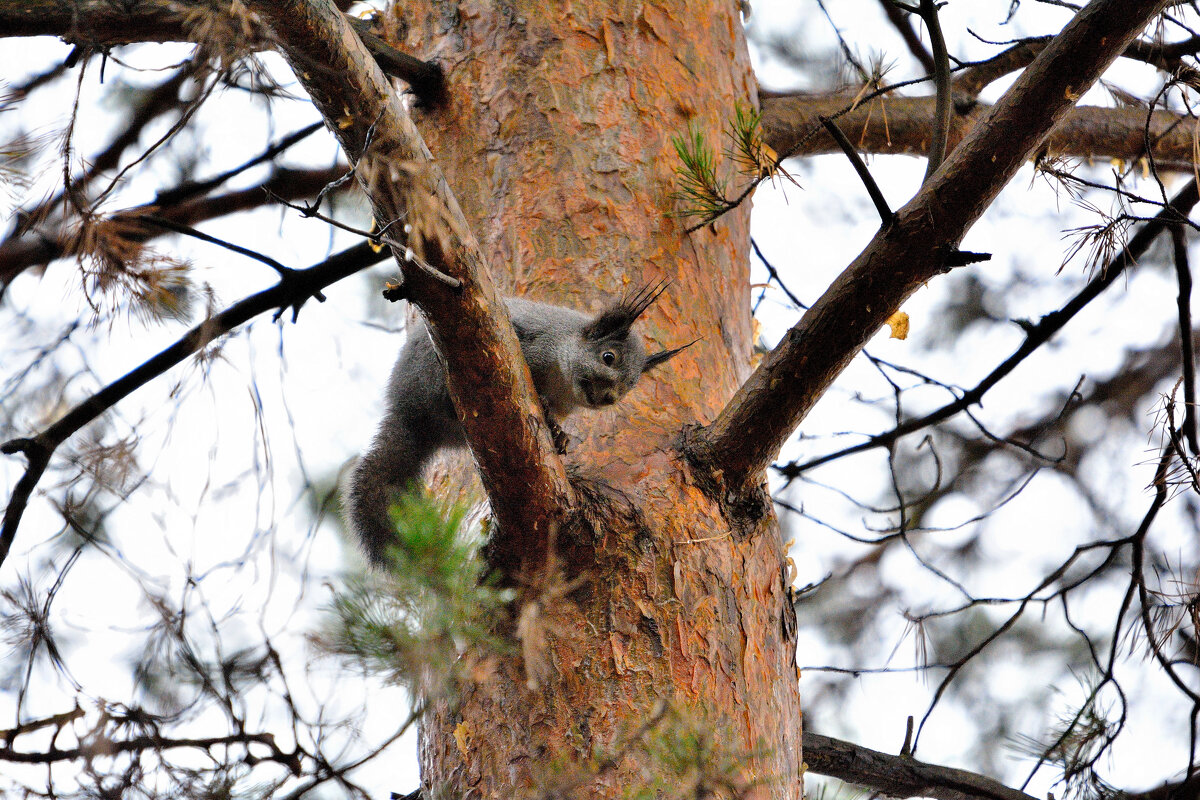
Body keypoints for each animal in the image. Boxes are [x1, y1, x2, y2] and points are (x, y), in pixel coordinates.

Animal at [343, 284, 691, 566]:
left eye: (631, 384)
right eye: (609, 357)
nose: (609, 398)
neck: (563, 381)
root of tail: (407, 413)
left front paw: (560, 435)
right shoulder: (537, 344)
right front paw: (547, 409)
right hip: (431, 374)